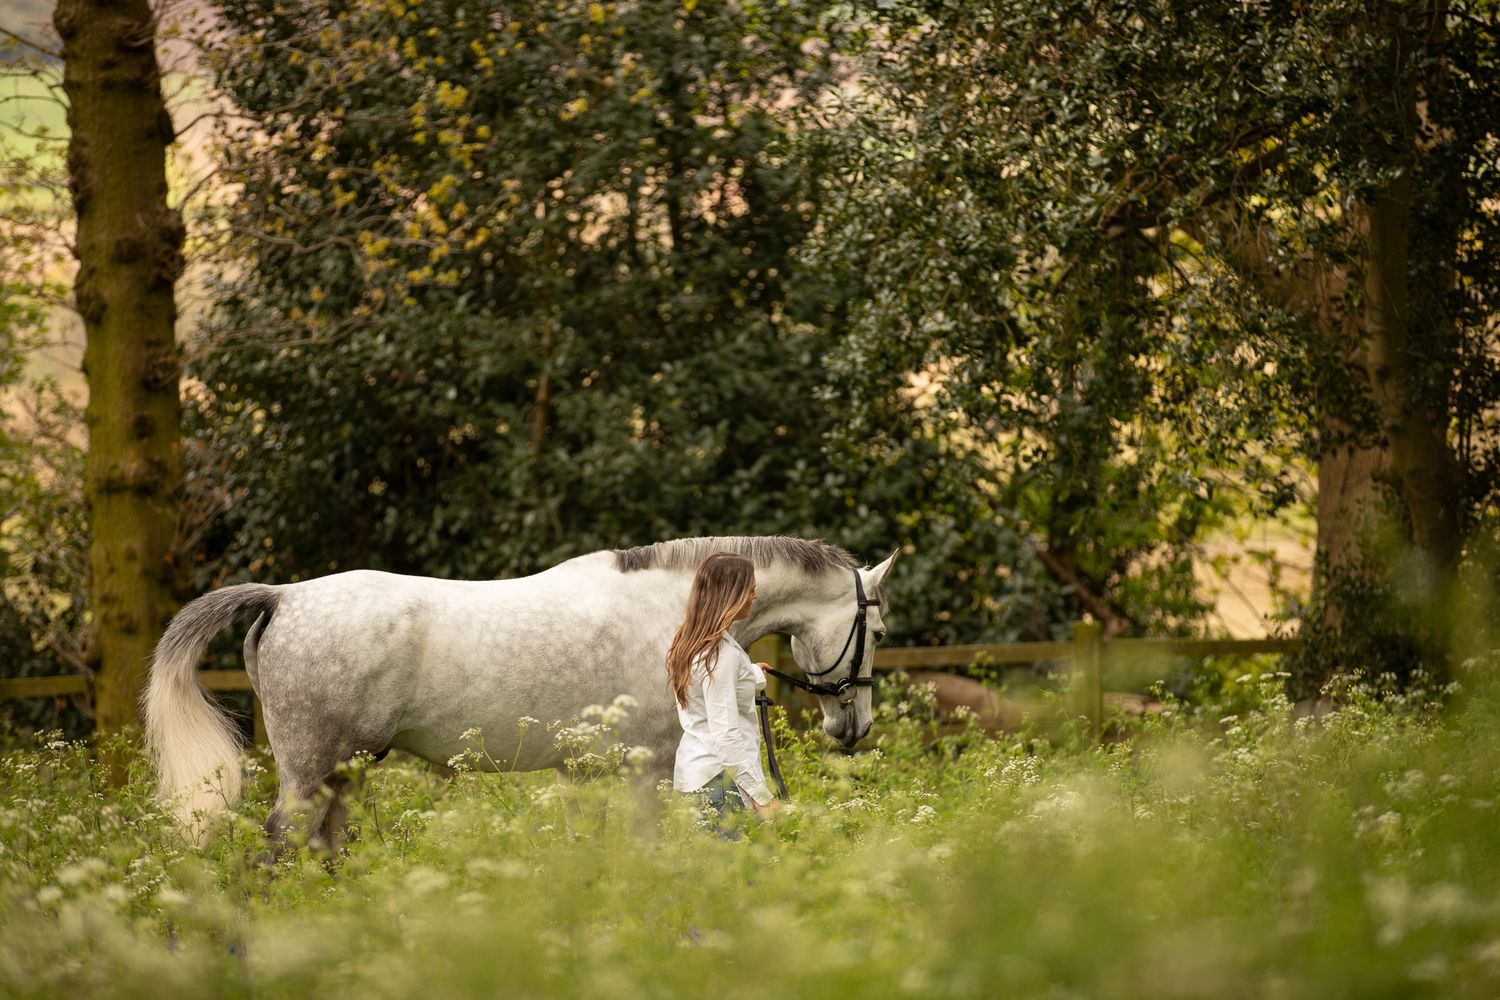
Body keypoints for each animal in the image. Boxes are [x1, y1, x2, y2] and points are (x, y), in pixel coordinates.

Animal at [145, 535, 897, 852]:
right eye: (881, 630)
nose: (853, 726)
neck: (676, 614)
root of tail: (282, 596)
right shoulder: (648, 768)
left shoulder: (587, 771)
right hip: (309, 771)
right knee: (280, 842)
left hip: (343, 771)